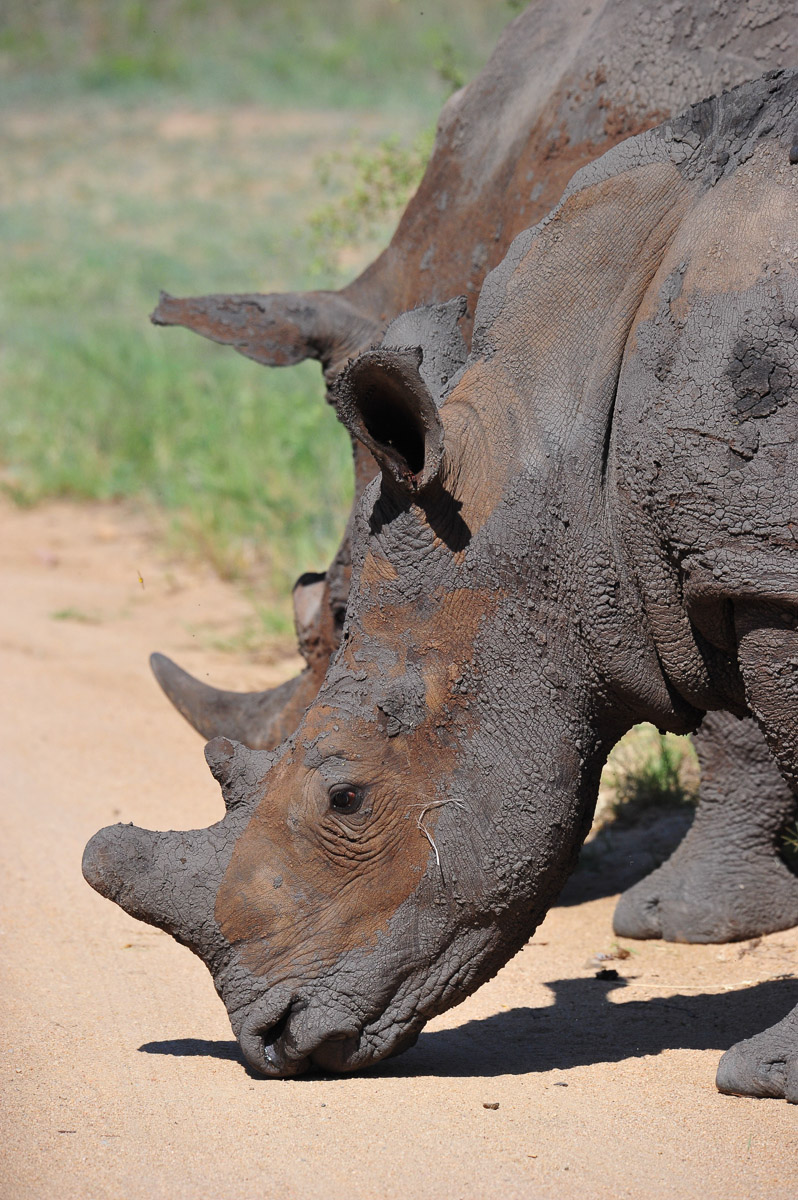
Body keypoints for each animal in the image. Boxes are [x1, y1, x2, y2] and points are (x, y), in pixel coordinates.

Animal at [85, 71, 798, 1100]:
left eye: (347, 800)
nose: (270, 1045)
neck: (563, 470)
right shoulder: (724, 559)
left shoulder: (761, 564)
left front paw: (764, 1077)